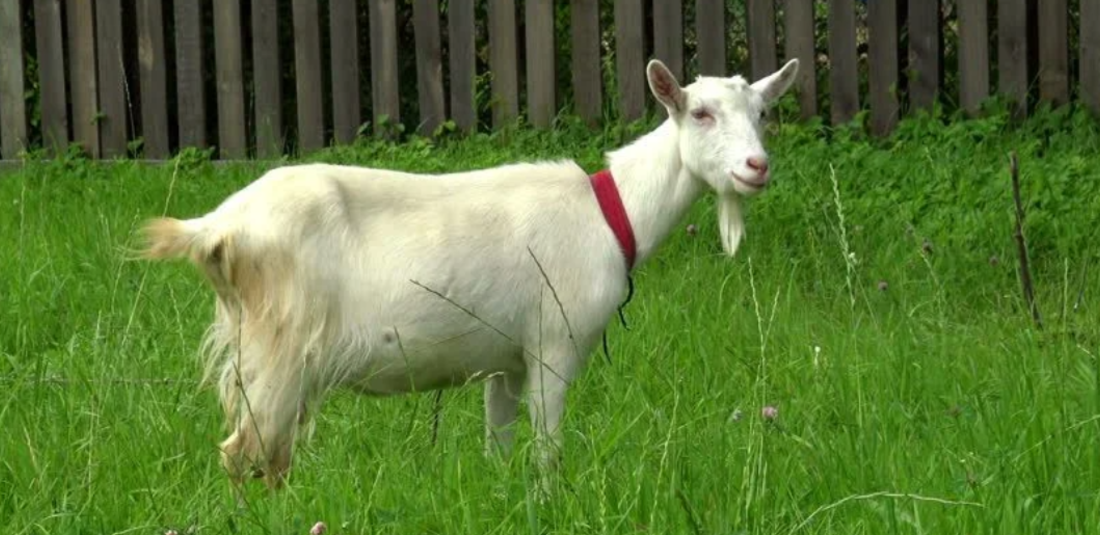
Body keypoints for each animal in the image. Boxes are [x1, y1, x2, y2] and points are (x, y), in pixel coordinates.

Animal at [141, 58, 800, 488]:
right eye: (701, 112)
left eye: (763, 111)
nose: (756, 166)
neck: (612, 215)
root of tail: (217, 226)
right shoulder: (553, 343)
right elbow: (547, 450)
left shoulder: (504, 360)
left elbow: (498, 446)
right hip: (282, 343)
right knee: (245, 454)